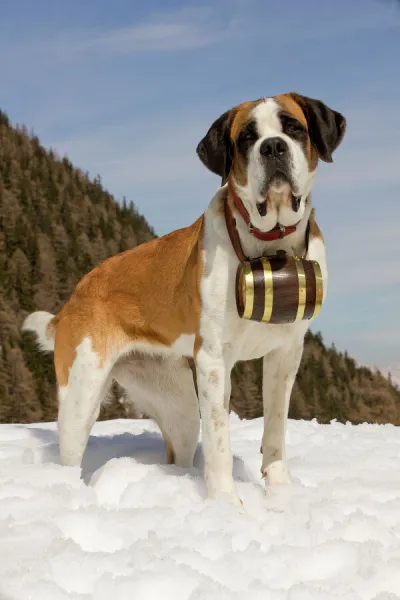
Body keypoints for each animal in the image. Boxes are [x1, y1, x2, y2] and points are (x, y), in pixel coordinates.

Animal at [23, 94, 346, 506]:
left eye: (293, 128)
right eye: (247, 137)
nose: (272, 146)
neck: (269, 245)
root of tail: (74, 298)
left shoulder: (286, 353)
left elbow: (275, 427)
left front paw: (281, 490)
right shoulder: (213, 361)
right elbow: (220, 440)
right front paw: (227, 505)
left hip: (178, 404)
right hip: (81, 394)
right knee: (71, 452)